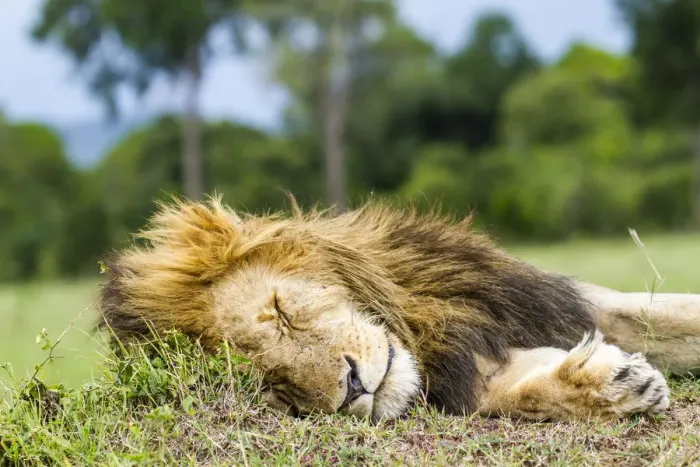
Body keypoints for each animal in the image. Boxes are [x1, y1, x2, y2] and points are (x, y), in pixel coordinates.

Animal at [97, 196, 700, 423]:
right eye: (274, 387)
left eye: (281, 311)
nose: (352, 389)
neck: (422, 328)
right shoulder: (464, 372)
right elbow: (518, 393)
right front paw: (613, 385)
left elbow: (668, 317)